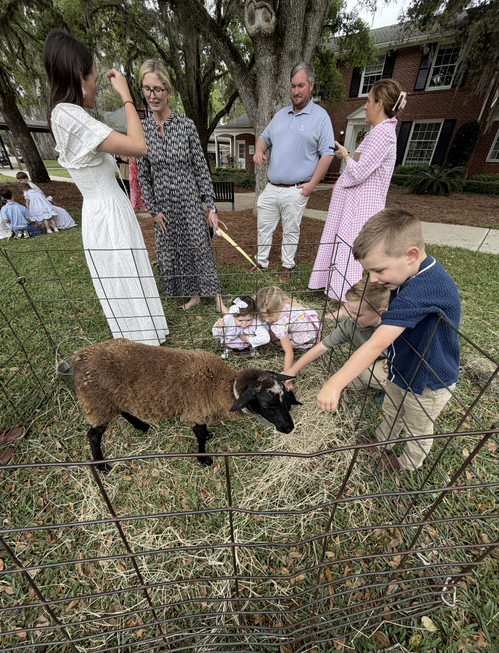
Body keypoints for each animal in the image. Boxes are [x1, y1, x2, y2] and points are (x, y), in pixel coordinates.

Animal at [72, 338, 301, 472]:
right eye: (266, 404)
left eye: (284, 399)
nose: (289, 427)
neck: (222, 386)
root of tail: (79, 357)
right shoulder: (194, 413)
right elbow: (199, 436)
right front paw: (203, 459)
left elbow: (204, 432)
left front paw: (209, 436)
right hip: (97, 402)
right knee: (93, 436)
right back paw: (102, 466)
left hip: (115, 398)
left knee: (123, 411)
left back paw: (141, 426)